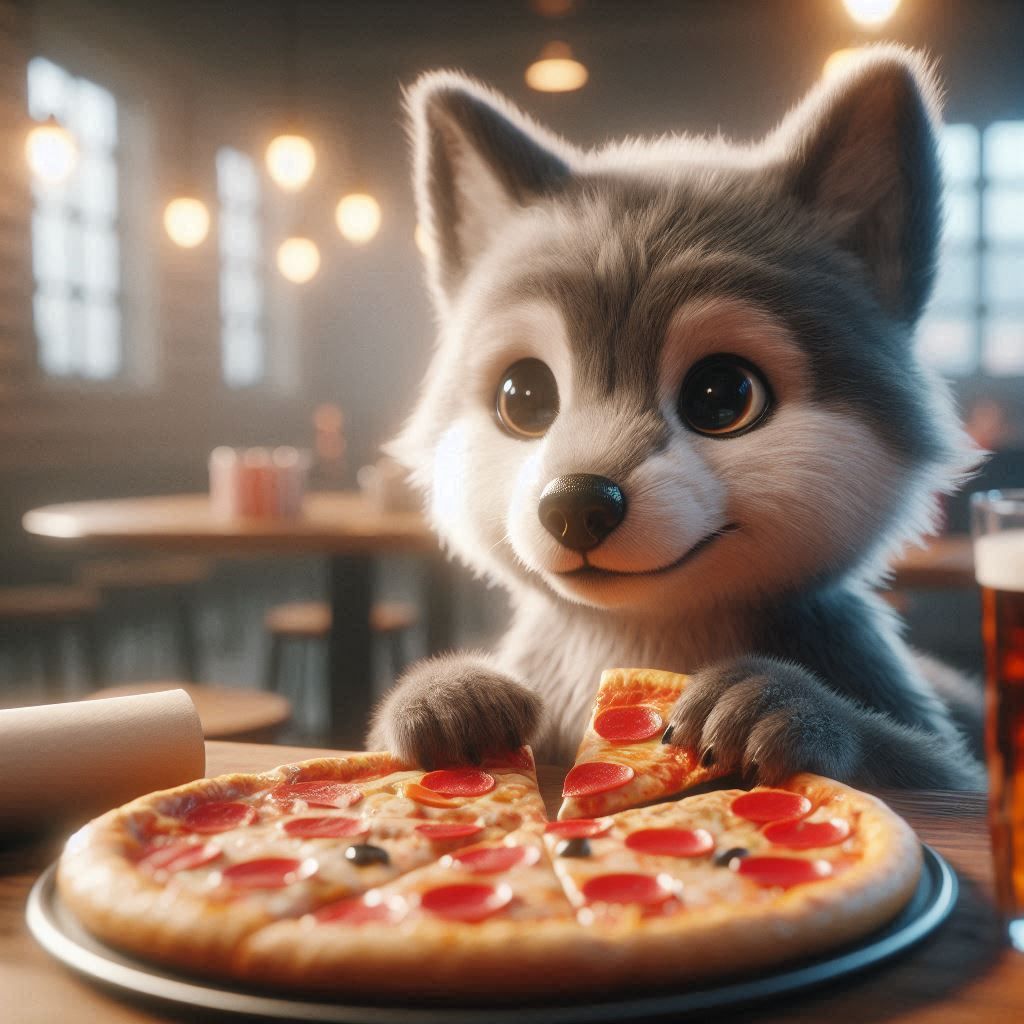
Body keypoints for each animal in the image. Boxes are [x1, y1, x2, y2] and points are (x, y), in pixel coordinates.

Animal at [368, 46, 985, 790]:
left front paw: (781, 701)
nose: (576, 502)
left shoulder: (944, 761)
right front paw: (448, 692)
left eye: (722, 396)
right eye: (523, 398)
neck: (641, 636)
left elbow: (930, 771)